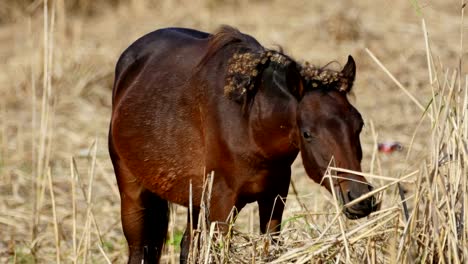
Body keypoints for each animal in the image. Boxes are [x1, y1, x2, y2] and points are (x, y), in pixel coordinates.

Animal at [108, 25, 378, 264]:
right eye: (307, 133)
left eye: (359, 125)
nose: (361, 199)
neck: (250, 124)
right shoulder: (222, 207)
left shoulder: (274, 197)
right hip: (133, 196)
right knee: (138, 251)